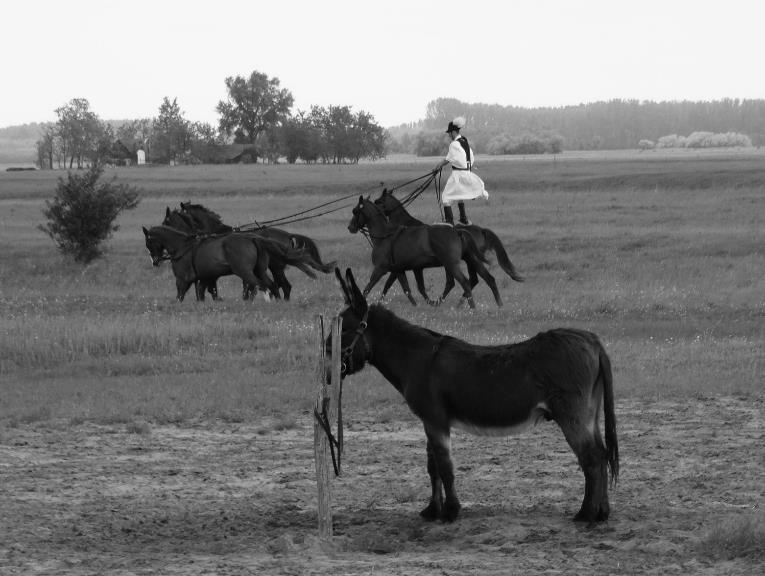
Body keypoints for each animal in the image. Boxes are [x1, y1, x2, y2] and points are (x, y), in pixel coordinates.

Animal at [143, 223, 286, 300]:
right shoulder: (205, 278)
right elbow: (203, 294)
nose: (155, 262)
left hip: (245, 272)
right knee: (271, 285)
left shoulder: (183, 280)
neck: (182, 247)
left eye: (148, 243)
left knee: (260, 286)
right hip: (259, 271)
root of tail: (251, 238)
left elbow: (180, 296)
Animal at [326, 268, 616, 524]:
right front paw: (432, 511)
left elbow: (445, 467)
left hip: (572, 414)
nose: (327, 372)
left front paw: (450, 512)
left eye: (343, 330)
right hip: (590, 412)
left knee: (591, 458)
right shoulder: (430, 421)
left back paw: (585, 515)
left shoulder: (435, 420)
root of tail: (593, 341)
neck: (415, 358)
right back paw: (601, 513)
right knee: (602, 454)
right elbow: (432, 466)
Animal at [346, 196, 502, 308]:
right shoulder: (400, 270)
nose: (350, 227)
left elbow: (368, 287)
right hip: (471, 260)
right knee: (487, 279)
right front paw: (416, 305)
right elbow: (407, 289)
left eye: (355, 211)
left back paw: (470, 307)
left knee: (464, 282)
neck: (385, 236)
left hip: (451, 265)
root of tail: (457, 231)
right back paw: (498, 304)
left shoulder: (380, 269)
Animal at [372, 188, 524, 302]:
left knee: (470, 280)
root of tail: (481, 230)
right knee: (478, 279)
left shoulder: (400, 264)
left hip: (468, 261)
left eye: (378, 201)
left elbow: (390, 282)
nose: (373, 207)